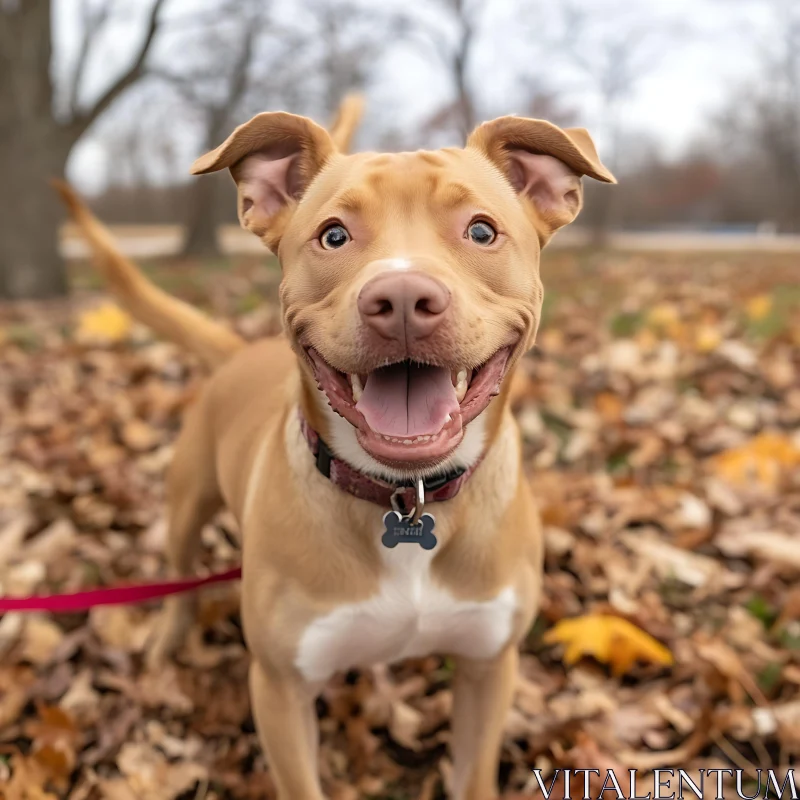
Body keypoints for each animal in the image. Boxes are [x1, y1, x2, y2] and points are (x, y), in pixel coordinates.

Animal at [57, 103, 612, 796]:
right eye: (334, 236)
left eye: (482, 231)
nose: (401, 300)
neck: (405, 497)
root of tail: (238, 352)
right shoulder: (280, 689)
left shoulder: (489, 666)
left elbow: (474, 771)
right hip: (186, 507)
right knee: (181, 579)